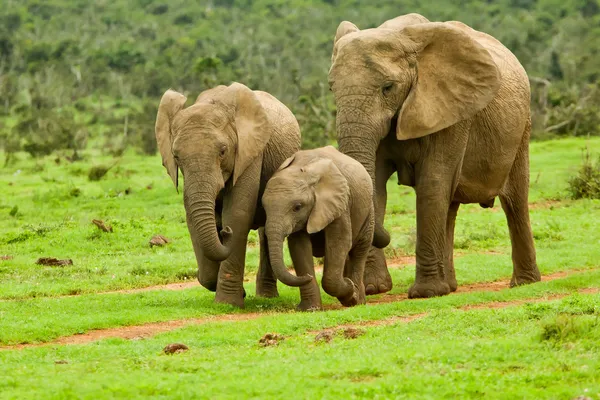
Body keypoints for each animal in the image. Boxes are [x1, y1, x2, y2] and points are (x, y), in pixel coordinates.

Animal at [156, 81, 302, 306]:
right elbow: (192, 216)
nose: (224, 232)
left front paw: (228, 302)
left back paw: (266, 296)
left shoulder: (250, 153)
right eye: (176, 156)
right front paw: (227, 289)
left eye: (223, 151)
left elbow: (237, 214)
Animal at [264, 146, 376, 310]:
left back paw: (357, 300)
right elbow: (299, 247)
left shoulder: (340, 203)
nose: (308, 276)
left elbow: (339, 242)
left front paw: (350, 293)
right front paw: (310, 309)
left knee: (360, 249)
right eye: (264, 208)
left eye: (297, 207)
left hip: (368, 210)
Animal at [328, 14, 544, 298]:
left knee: (515, 201)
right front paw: (375, 288)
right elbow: (376, 184)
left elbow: (432, 182)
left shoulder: (452, 111)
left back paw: (524, 283)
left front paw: (425, 293)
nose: (386, 236)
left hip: (521, 129)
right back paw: (450, 286)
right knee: (450, 206)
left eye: (388, 88)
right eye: (331, 89)